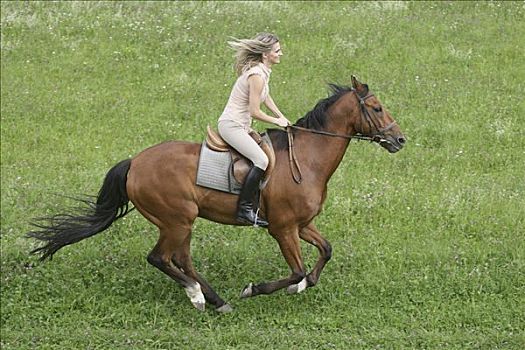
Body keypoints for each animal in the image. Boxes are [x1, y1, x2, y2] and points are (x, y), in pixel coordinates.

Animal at [27, 76, 406, 312]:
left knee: (180, 259)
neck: (307, 158)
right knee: (160, 258)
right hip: (177, 220)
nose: (400, 139)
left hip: (180, 222)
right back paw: (198, 296)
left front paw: (305, 284)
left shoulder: (302, 224)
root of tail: (135, 162)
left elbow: (325, 251)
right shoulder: (282, 228)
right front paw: (256, 289)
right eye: (376, 107)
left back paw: (216, 300)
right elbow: (296, 271)